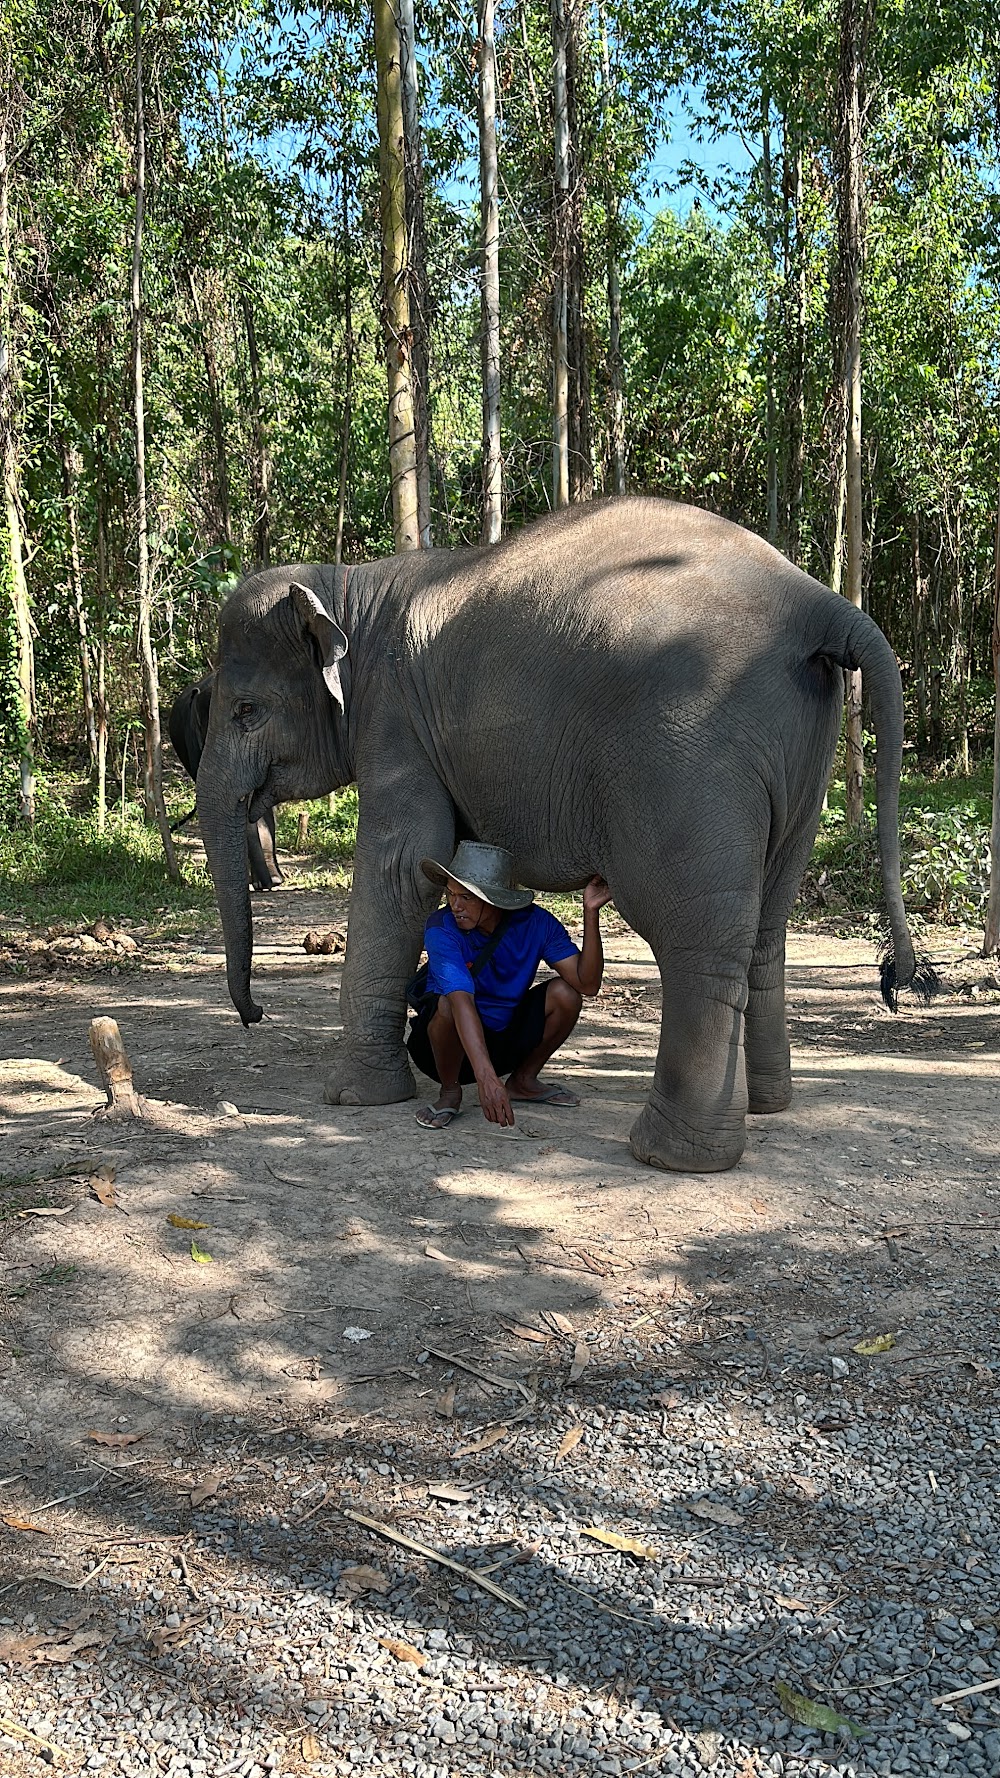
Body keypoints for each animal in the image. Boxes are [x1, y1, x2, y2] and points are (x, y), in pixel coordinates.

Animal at [196, 494, 932, 1173]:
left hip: (689, 754)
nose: (254, 1014)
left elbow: (402, 867)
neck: (352, 587)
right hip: (803, 759)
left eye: (246, 711)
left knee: (695, 931)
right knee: (768, 924)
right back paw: (768, 1107)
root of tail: (819, 604)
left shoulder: (395, 722)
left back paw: (670, 1155)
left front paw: (354, 1099)